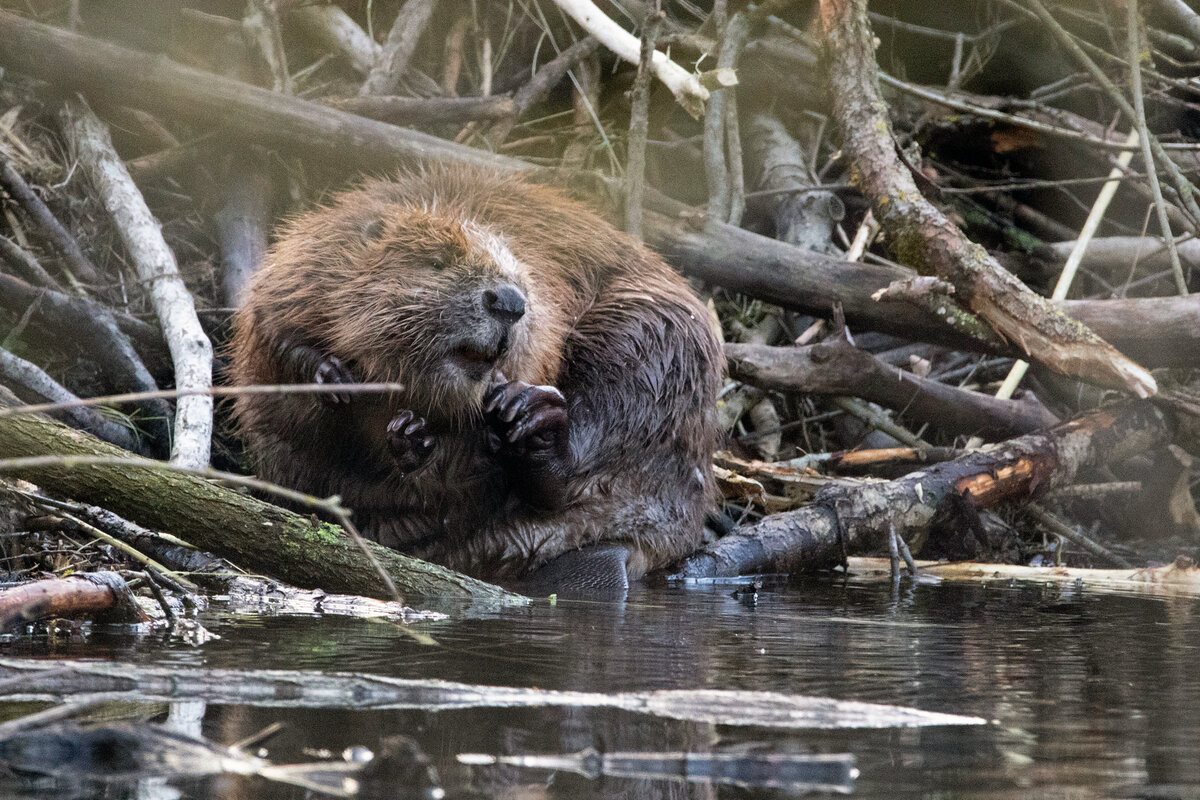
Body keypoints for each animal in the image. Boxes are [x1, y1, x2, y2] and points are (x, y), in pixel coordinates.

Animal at [231, 165, 720, 594]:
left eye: (522, 278)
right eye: (436, 261)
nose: (509, 301)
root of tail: (616, 544)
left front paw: (499, 409)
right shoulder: (306, 261)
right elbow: (272, 330)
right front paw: (335, 378)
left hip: (657, 334)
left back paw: (534, 426)